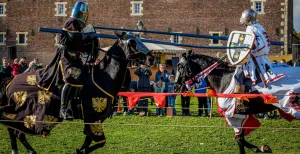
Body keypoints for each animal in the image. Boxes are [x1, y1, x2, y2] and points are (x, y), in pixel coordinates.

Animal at [0, 32, 154, 154]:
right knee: (16, 132)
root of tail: (10, 81)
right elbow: (99, 141)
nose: (150, 58)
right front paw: (79, 151)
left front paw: (80, 150)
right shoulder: (93, 116)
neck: (104, 77)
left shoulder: (96, 119)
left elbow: (89, 140)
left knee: (14, 131)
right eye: (132, 42)